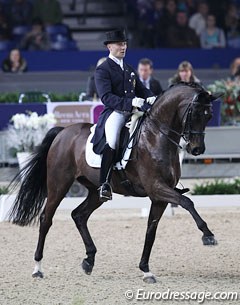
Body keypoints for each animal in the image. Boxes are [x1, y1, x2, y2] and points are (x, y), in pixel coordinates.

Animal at [8, 81, 218, 282]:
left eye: (208, 116)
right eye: (195, 114)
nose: (197, 149)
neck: (156, 137)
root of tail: (62, 132)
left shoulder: (159, 197)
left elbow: (151, 231)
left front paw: (146, 270)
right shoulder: (156, 188)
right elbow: (187, 202)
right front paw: (208, 235)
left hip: (95, 191)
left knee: (79, 215)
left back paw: (89, 260)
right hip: (58, 184)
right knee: (46, 219)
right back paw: (38, 269)